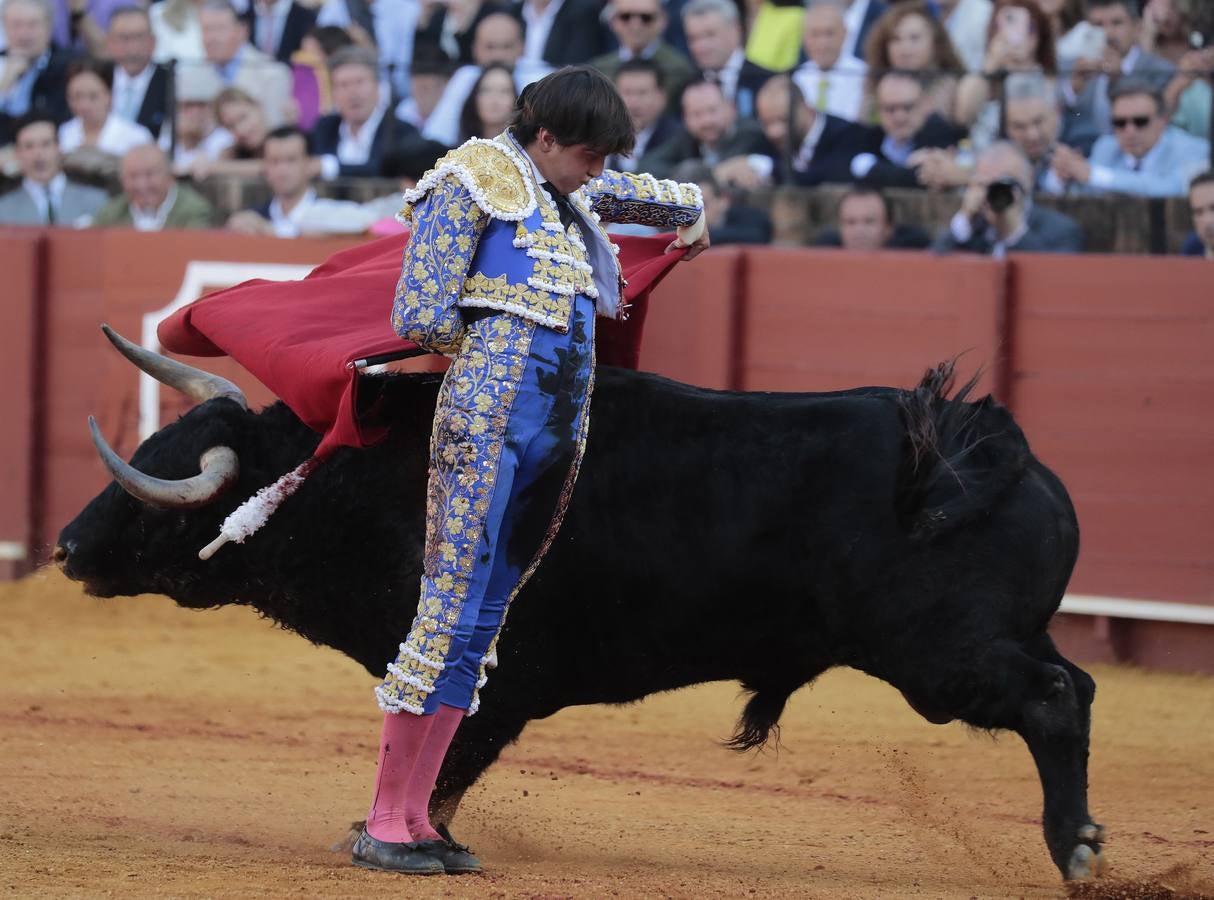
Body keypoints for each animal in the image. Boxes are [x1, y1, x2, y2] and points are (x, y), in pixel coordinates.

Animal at [54, 357, 1112, 879]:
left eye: (161, 501)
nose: (64, 546)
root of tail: (985, 451)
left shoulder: (489, 674)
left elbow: (444, 756)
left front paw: (396, 840)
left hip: (940, 656)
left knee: (1053, 699)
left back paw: (1074, 848)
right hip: (990, 639)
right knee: (1079, 684)